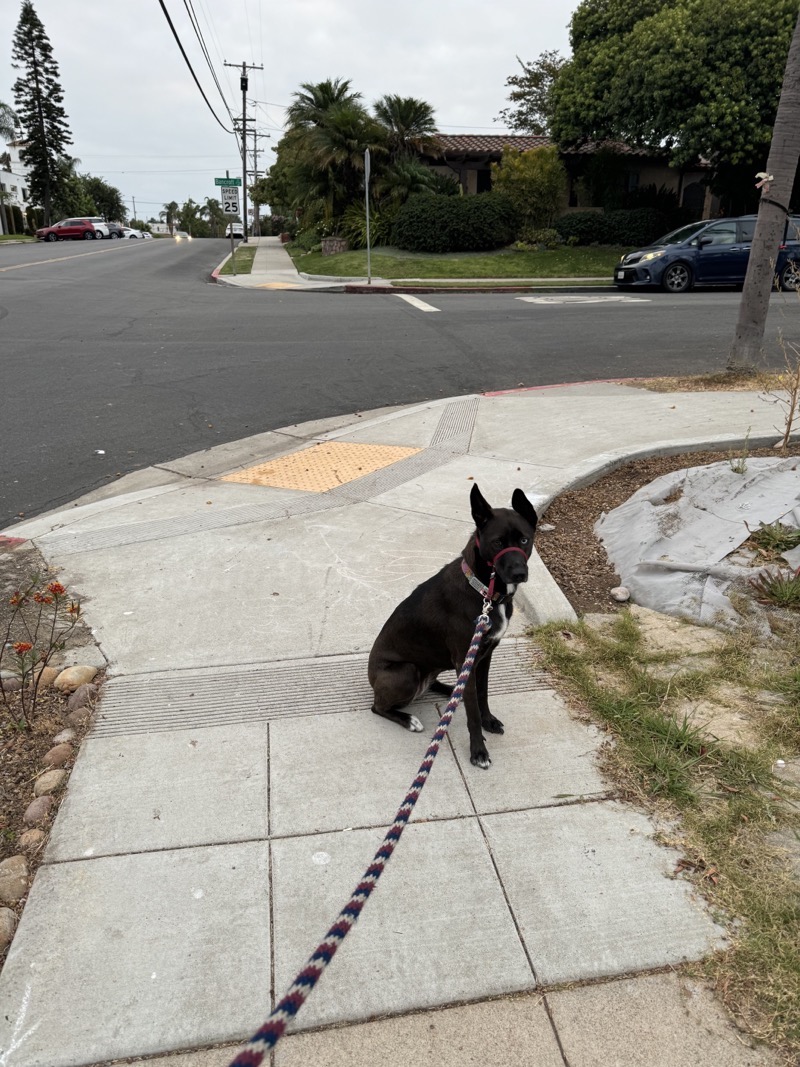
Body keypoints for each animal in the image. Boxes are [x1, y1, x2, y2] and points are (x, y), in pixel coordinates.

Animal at [369, 484, 539, 768]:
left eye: (525, 540)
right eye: (497, 543)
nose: (519, 574)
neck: (484, 592)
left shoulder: (484, 656)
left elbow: (481, 694)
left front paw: (488, 720)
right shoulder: (465, 658)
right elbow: (473, 714)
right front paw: (478, 751)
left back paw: (450, 691)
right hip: (406, 671)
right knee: (378, 707)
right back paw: (409, 719)